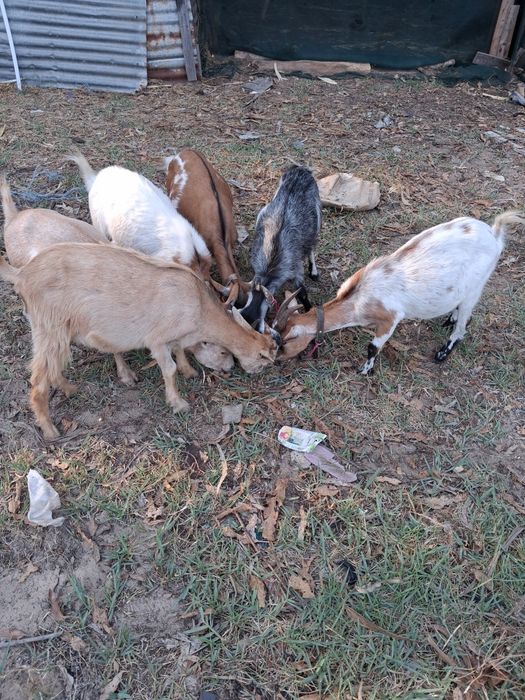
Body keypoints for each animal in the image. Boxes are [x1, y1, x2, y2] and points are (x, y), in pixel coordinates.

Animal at [0, 242, 280, 440]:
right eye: (224, 353)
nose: (231, 368)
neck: (199, 305)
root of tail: (22, 274)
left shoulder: (174, 335)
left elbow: (179, 351)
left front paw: (189, 371)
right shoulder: (157, 339)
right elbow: (169, 368)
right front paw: (178, 403)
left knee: (54, 365)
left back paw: (69, 389)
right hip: (49, 326)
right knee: (38, 378)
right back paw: (49, 430)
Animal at [241, 165, 321, 332]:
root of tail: (300, 170)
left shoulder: (295, 269)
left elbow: (302, 293)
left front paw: (310, 311)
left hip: (317, 214)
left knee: (311, 244)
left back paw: (314, 271)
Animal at [277, 212, 524, 373]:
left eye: (284, 343)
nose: (277, 359)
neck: (358, 298)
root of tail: (494, 234)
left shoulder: (390, 318)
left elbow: (373, 347)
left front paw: (365, 370)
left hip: (477, 285)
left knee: (464, 325)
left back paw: (443, 352)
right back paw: (449, 319)